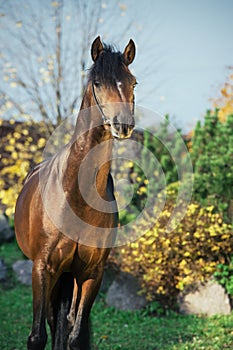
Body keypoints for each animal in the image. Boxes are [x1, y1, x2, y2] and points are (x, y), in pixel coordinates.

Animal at [14, 36, 137, 350]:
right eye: (97, 83)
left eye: (133, 82)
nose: (123, 124)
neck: (76, 197)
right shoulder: (42, 268)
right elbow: (37, 336)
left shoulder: (92, 273)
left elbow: (76, 335)